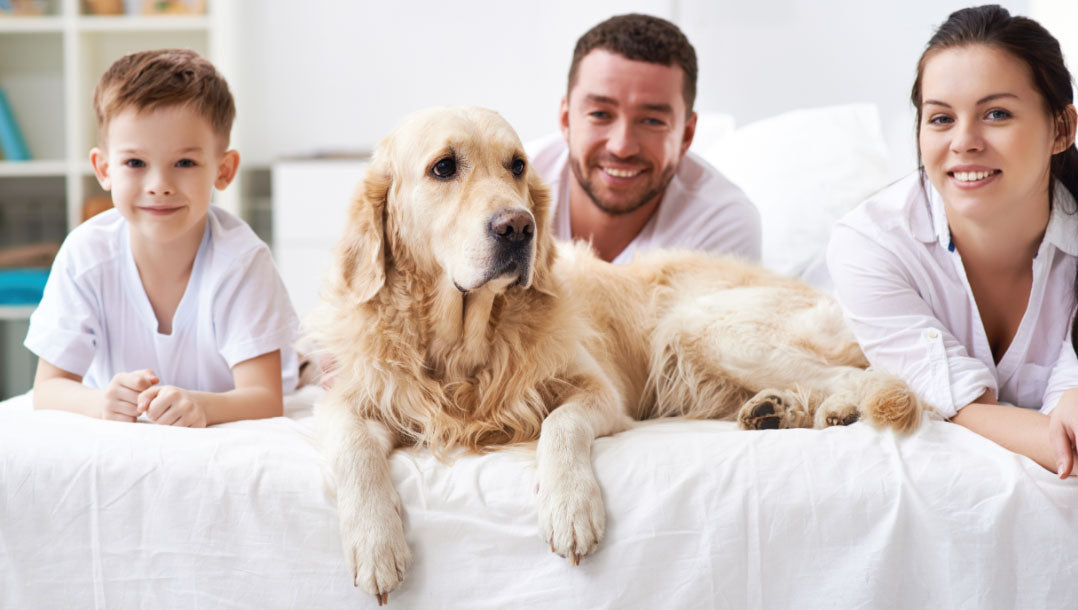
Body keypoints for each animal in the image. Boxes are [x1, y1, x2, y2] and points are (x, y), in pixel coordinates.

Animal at [308, 106, 922, 607]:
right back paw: (781, 412)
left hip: (704, 327)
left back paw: (837, 409)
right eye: (443, 168)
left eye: (516, 166)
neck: (465, 342)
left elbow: (559, 426)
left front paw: (570, 507)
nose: (518, 226)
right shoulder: (351, 401)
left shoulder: (599, 392)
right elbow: (353, 447)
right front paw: (374, 543)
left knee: (862, 374)